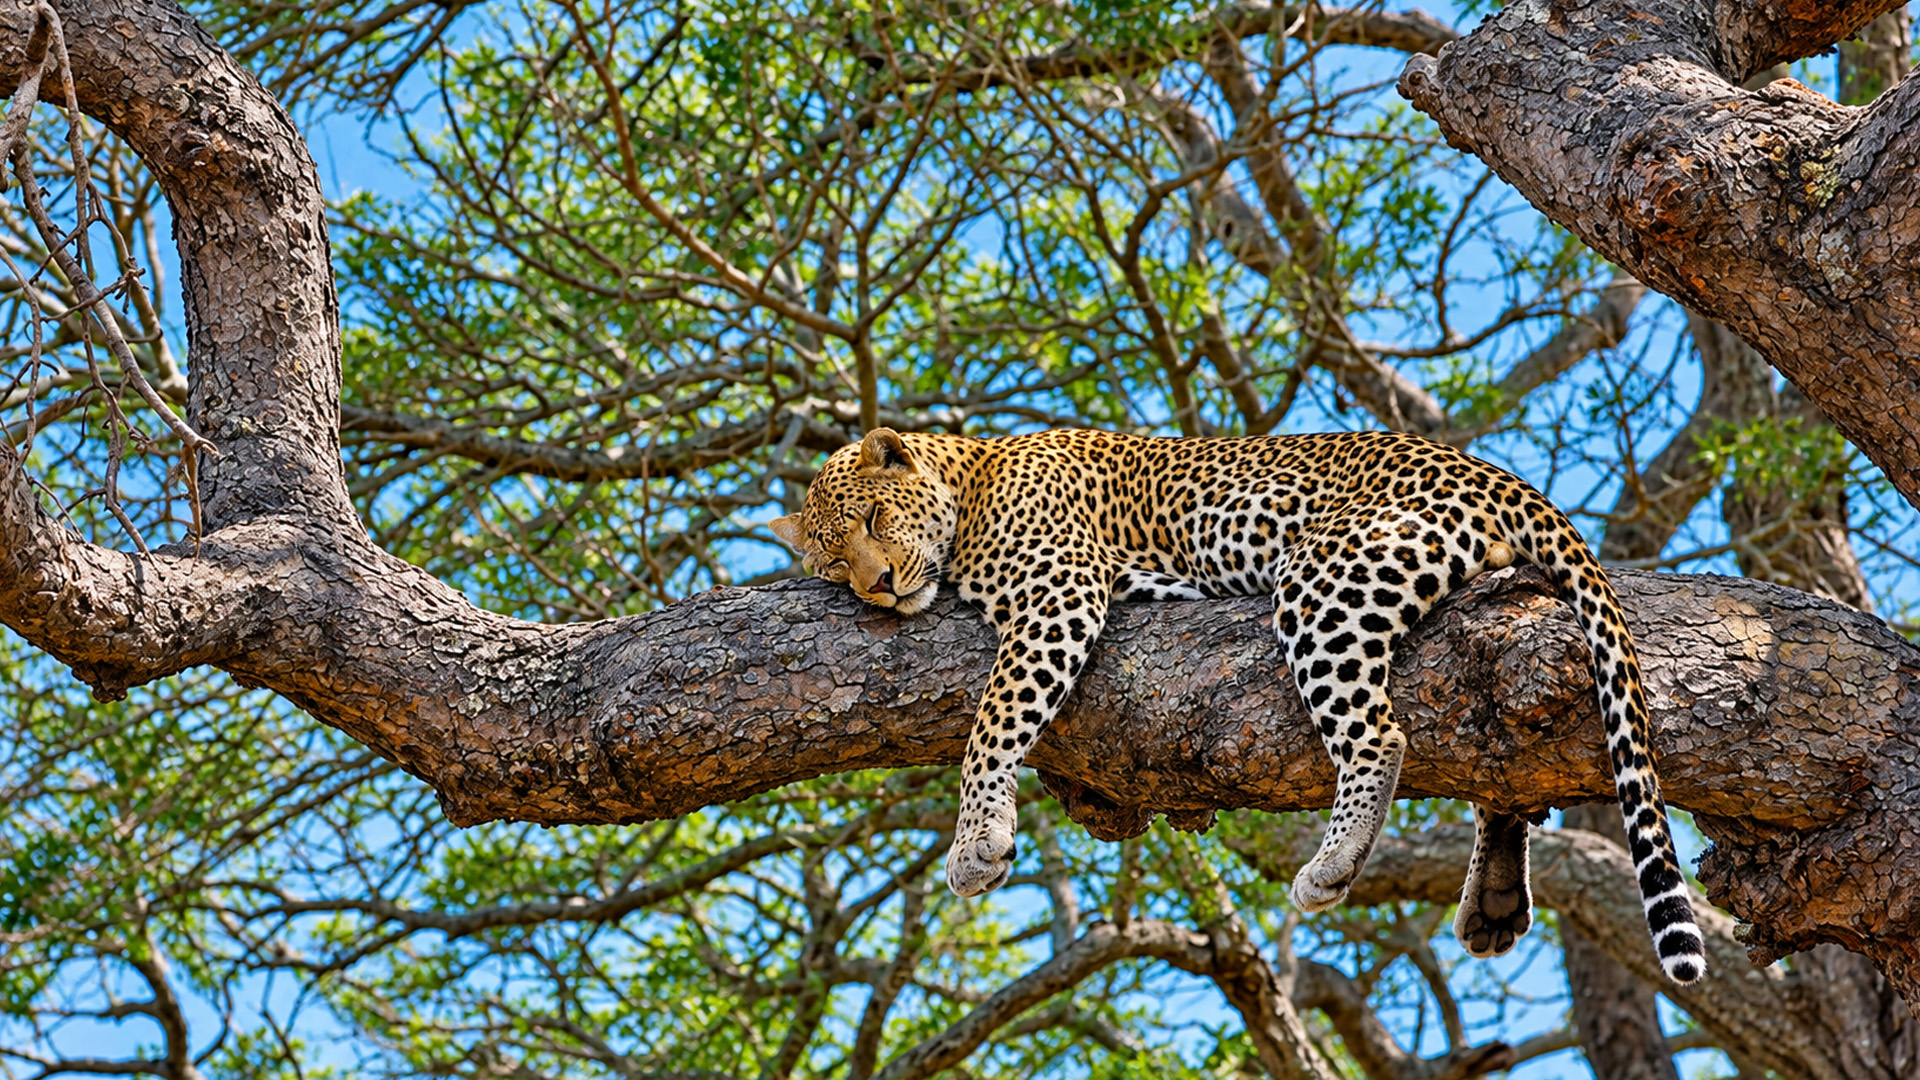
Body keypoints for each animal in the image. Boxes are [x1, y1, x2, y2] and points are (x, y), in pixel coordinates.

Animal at [770, 426, 1707, 984]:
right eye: (829, 562)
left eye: (876, 520)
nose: (877, 588)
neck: (968, 477)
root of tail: (1500, 474)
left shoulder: (1057, 594)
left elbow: (991, 726)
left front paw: (975, 843)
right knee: (1494, 763)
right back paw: (1495, 899)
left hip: (1329, 582)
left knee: (1384, 733)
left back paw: (1334, 863)